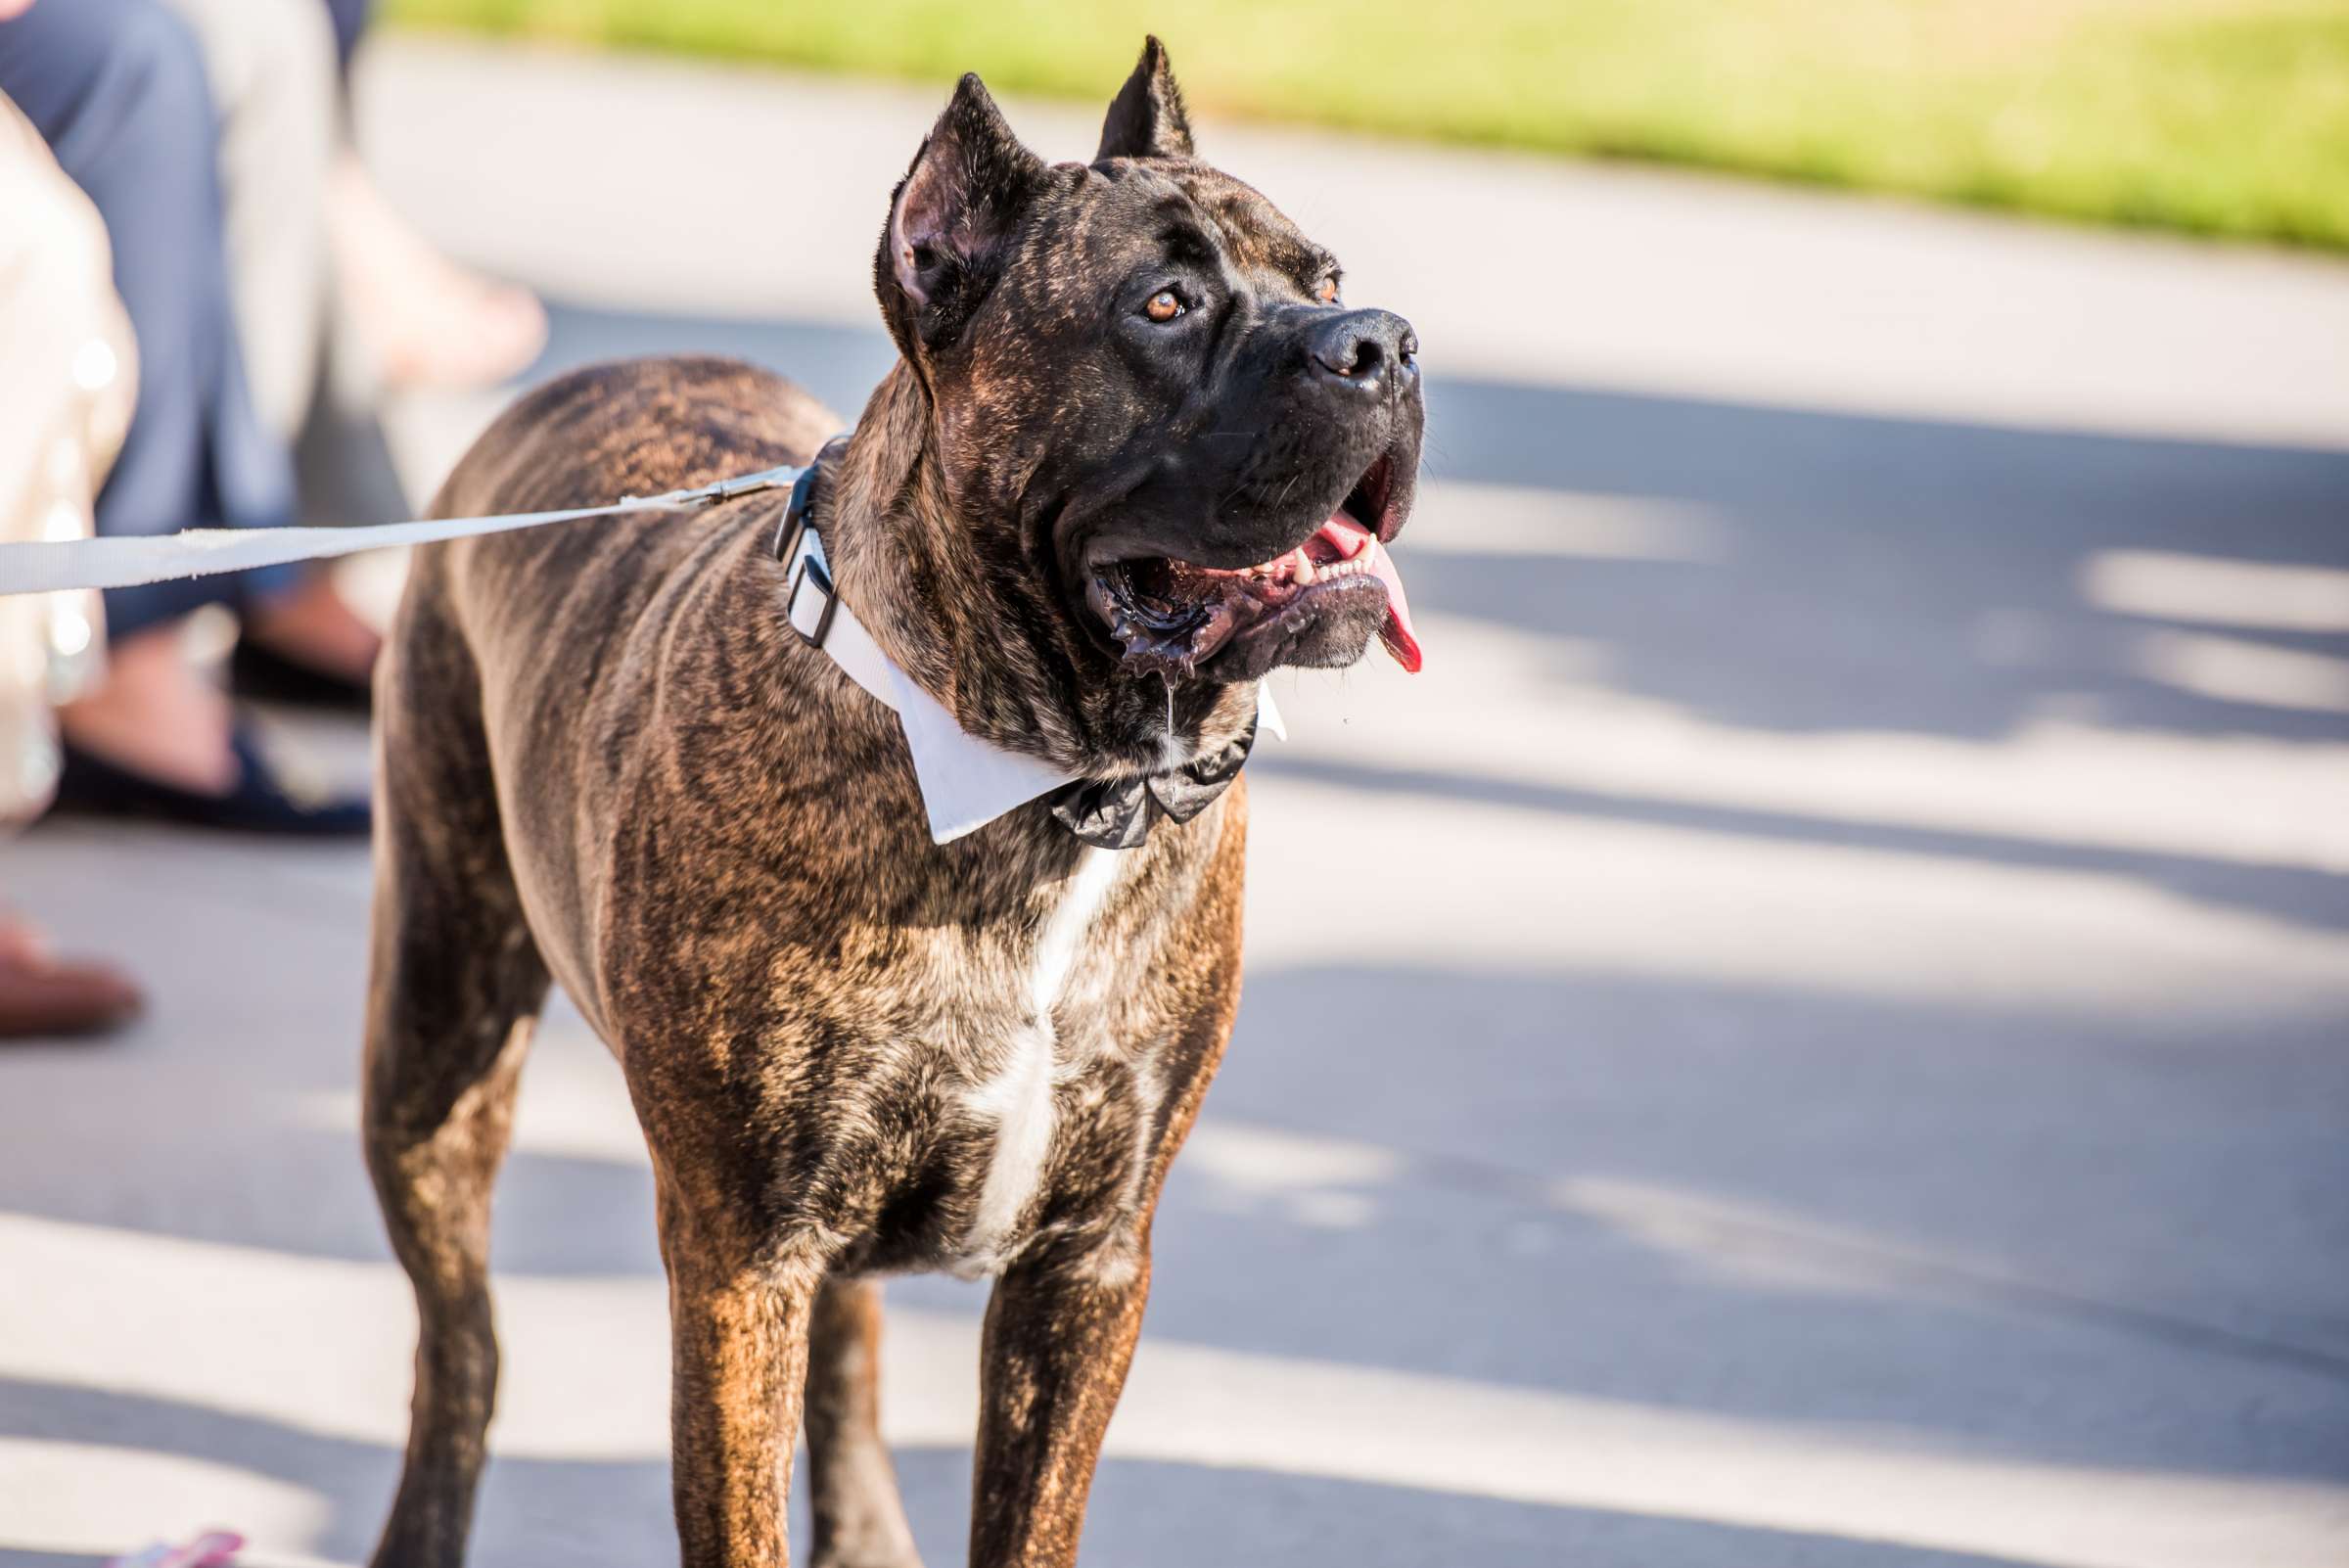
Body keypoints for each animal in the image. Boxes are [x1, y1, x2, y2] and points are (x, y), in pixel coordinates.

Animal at [366, 36, 1418, 1568]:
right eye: (1163, 305)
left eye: (1327, 279)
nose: (1383, 343)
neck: (1057, 786)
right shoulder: (742, 1262)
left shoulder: (1086, 1266)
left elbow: (1024, 1510)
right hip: (434, 1049)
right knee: (463, 1347)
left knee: (846, 1356)